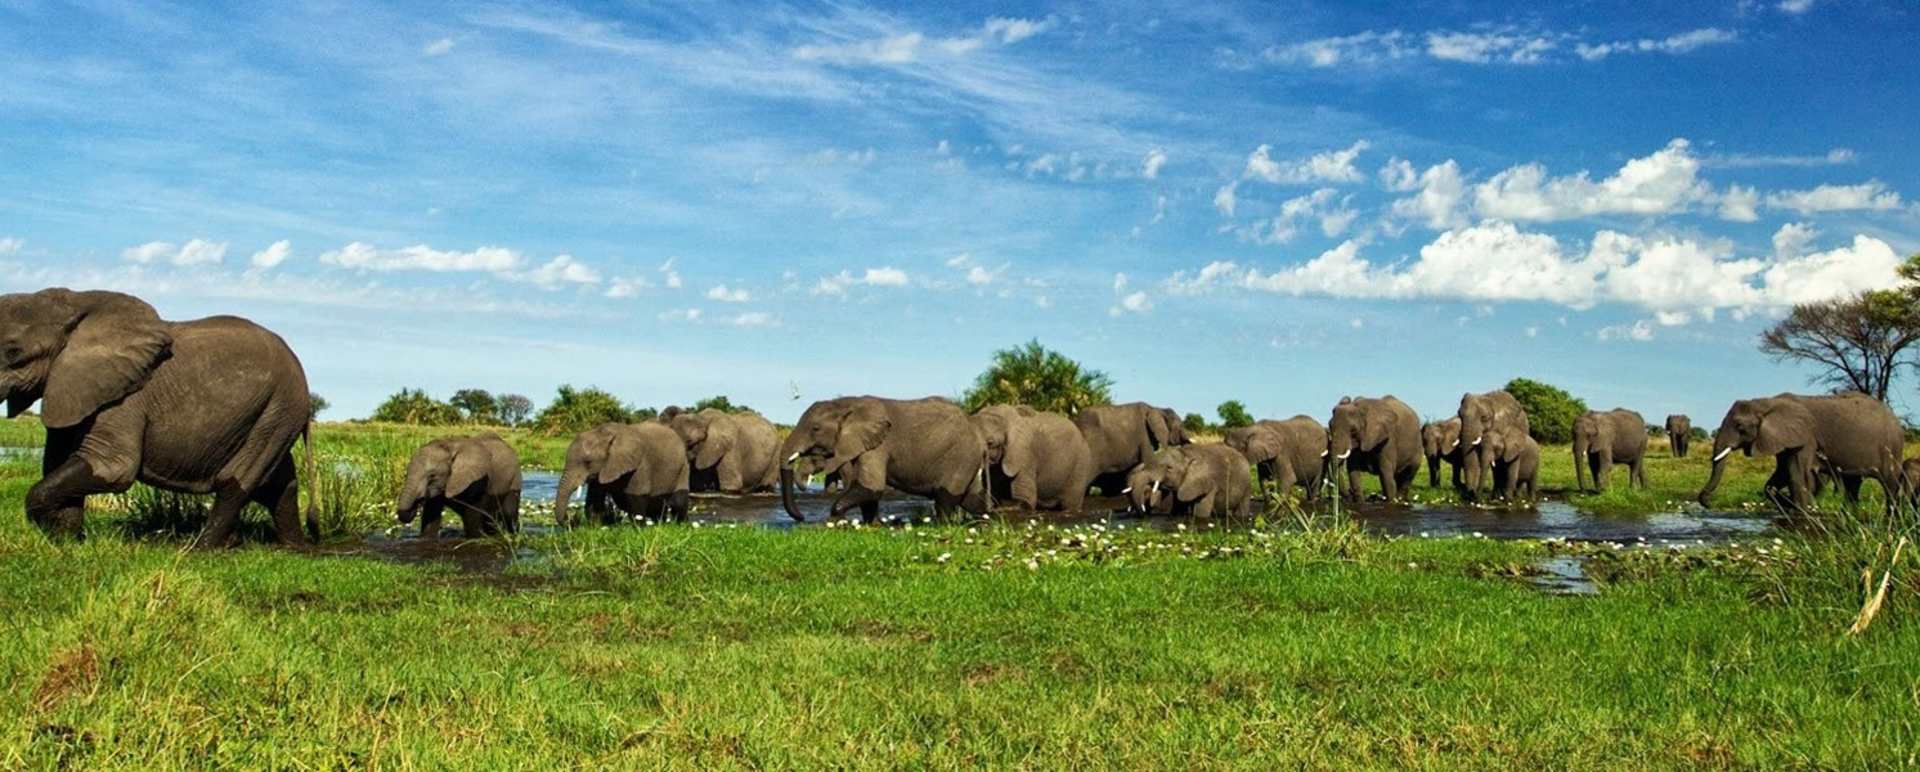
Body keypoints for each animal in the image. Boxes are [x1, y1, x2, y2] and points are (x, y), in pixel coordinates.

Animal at [0, 288, 316, 546]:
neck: (76, 302)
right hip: (272, 412)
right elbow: (57, 461)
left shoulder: (124, 397)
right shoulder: (70, 388)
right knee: (279, 484)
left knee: (237, 480)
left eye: (13, 352)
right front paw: (67, 541)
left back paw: (202, 548)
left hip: (281, 406)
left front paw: (57, 535)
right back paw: (293, 547)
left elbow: (111, 468)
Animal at [554, 423, 690, 526]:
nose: (572, 519)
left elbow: (636, 498)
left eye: (588, 462)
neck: (605, 434)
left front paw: (638, 529)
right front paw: (595, 527)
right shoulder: (602, 470)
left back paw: (680, 525)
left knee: (679, 501)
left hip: (683, 467)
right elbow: (594, 500)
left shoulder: (641, 465)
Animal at [778, 396, 990, 523]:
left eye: (815, 428)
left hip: (961, 457)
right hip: (968, 460)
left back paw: (944, 525)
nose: (802, 517)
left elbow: (872, 487)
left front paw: (836, 521)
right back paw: (986, 521)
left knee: (946, 499)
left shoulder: (879, 447)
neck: (846, 403)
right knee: (970, 499)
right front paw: (873, 525)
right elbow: (868, 491)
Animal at [1123, 444, 1253, 519]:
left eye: (1169, 468)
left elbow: (1201, 512)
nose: (1143, 516)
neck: (1185, 455)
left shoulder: (1208, 483)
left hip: (1247, 484)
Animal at [1697, 392, 1903, 511]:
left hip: (1891, 448)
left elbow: (1797, 476)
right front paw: (1791, 503)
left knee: (1890, 483)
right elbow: (1776, 479)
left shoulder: (1805, 437)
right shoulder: (1783, 439)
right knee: (1852, 484)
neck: (1766, 402)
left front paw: (1801, 510)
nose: (1709, 503)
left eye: (1740, 426)